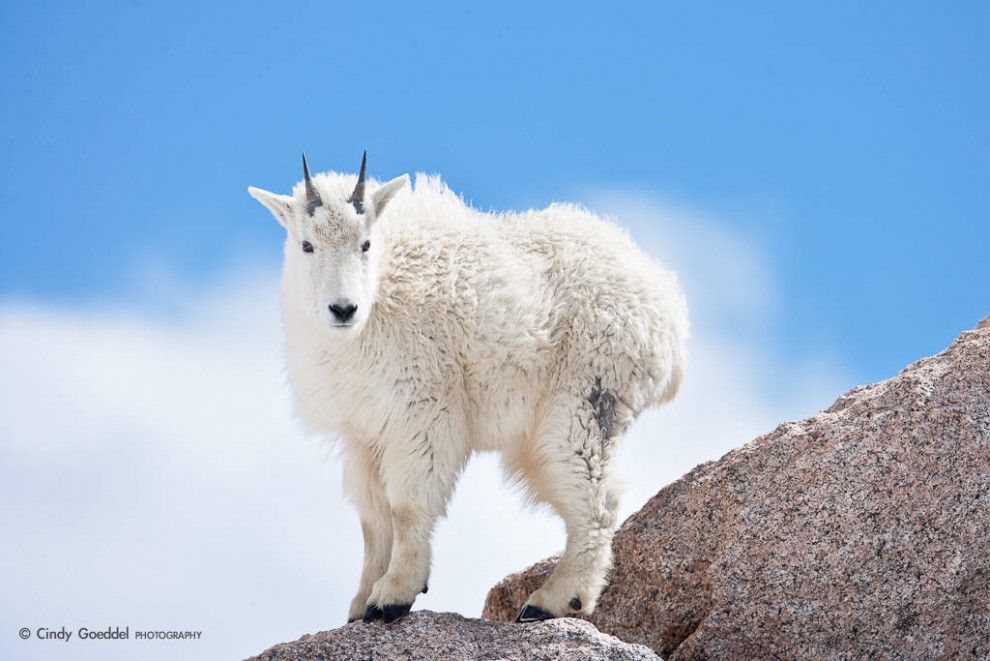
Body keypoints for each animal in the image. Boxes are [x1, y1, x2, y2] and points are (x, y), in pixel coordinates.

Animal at [248, 153, 688, 624]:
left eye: (365, 243)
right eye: (306, 245)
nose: (343, 309)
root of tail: (669, 313)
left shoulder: (421, 408)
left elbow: (407, 506)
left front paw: (393, 595)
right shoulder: (362, 431)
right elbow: (373, 519)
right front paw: (359, 602)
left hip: (585, 396)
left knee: (595, 500)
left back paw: (553, 599)